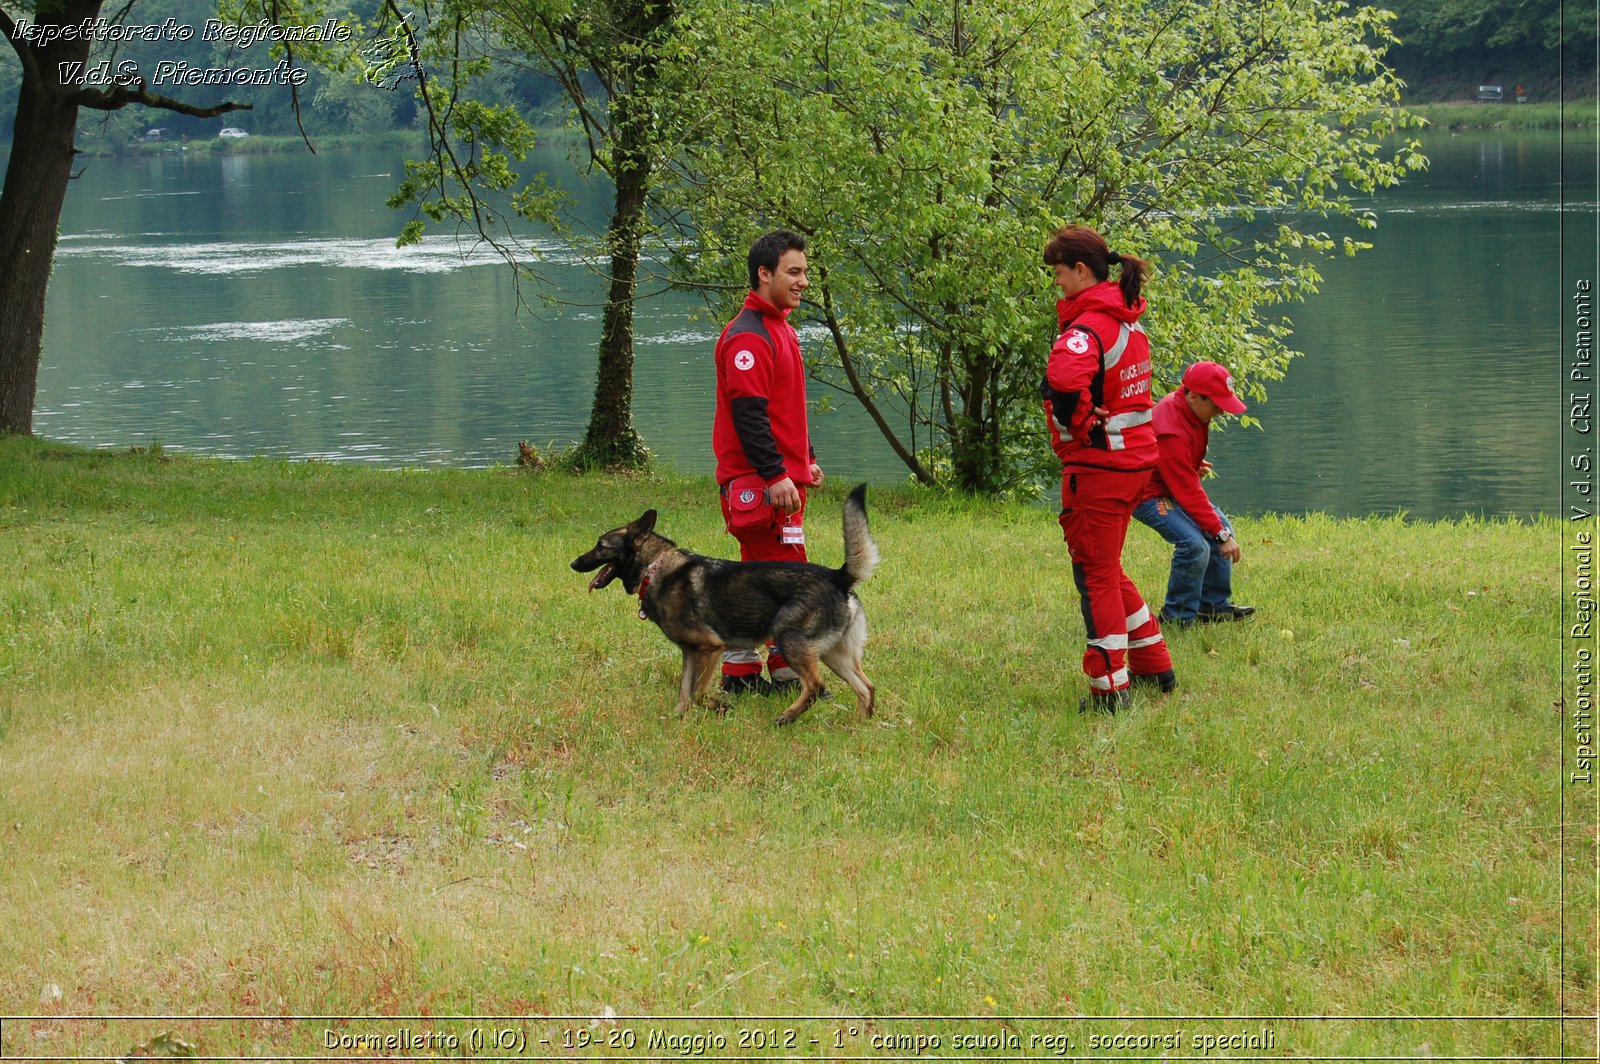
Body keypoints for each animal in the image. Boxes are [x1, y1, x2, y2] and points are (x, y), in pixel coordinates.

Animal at [572, 483, 883, 723]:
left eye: (601, 546)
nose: (573, 563)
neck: (655, 567)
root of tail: (838, 577)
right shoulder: (690, 653)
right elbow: (684, 694)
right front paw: (676, 719)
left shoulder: (709, 648)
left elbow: (697, 693)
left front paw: (719, 706)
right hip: (834, 654)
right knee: (866, 687)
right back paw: (860, 725)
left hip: (790, 640)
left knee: (817, 686)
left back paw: (786, 717)